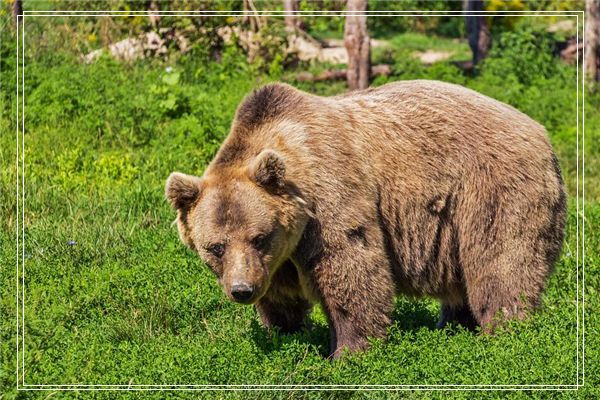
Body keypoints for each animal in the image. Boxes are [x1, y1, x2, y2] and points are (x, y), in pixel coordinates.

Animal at [165, 79, 568, 358]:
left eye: (259, 237)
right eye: (215, 247)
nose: (241, 290)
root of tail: (542, 133)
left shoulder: (329, 197)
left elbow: (351, 267)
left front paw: (348, 351)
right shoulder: (277, 257)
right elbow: (280, 296)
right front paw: (285, 333)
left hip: (491, 189)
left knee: (501, 262)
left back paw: (504, 331)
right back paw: (452, 325)